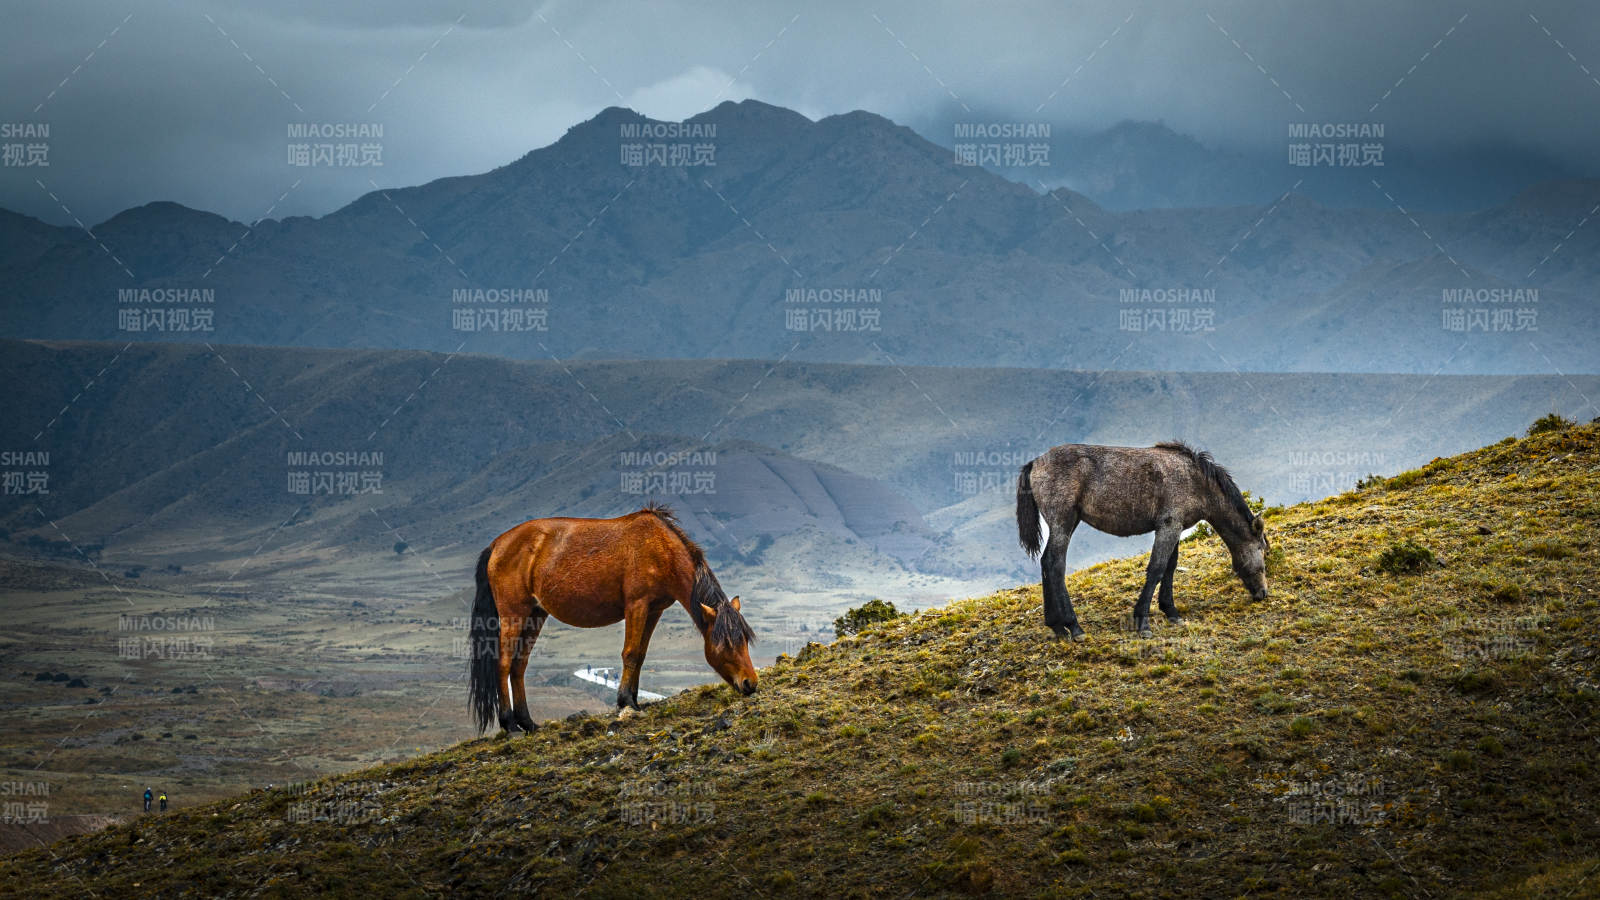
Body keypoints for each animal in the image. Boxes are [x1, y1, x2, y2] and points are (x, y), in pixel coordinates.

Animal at [467, 503, 757, 734]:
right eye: (725, 643)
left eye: (745, 639)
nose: (750, 683)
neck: (661, 548)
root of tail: (497, 544)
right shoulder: (637, 605)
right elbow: (630, 653)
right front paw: (625, 702)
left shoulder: (654, 610)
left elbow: (640, 655)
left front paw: (635, 701)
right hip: (513, 613)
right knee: (504, 663)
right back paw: (510, 725)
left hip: (535, 614)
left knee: (519, 665)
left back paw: (527, 722)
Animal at [1016, 440, 1269, 641]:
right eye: (1262, 551)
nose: (1263, 593)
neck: (1195, 480)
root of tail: (1035, 462)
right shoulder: (1169, 526)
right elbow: (1157, 569)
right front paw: (1143, 623)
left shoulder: (1174, 528)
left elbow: (1170, 567)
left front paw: (1171, 612)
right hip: (1063, 522)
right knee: (1055, 565)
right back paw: (1074, 627)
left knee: (1046, 563)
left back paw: (1057, 627)